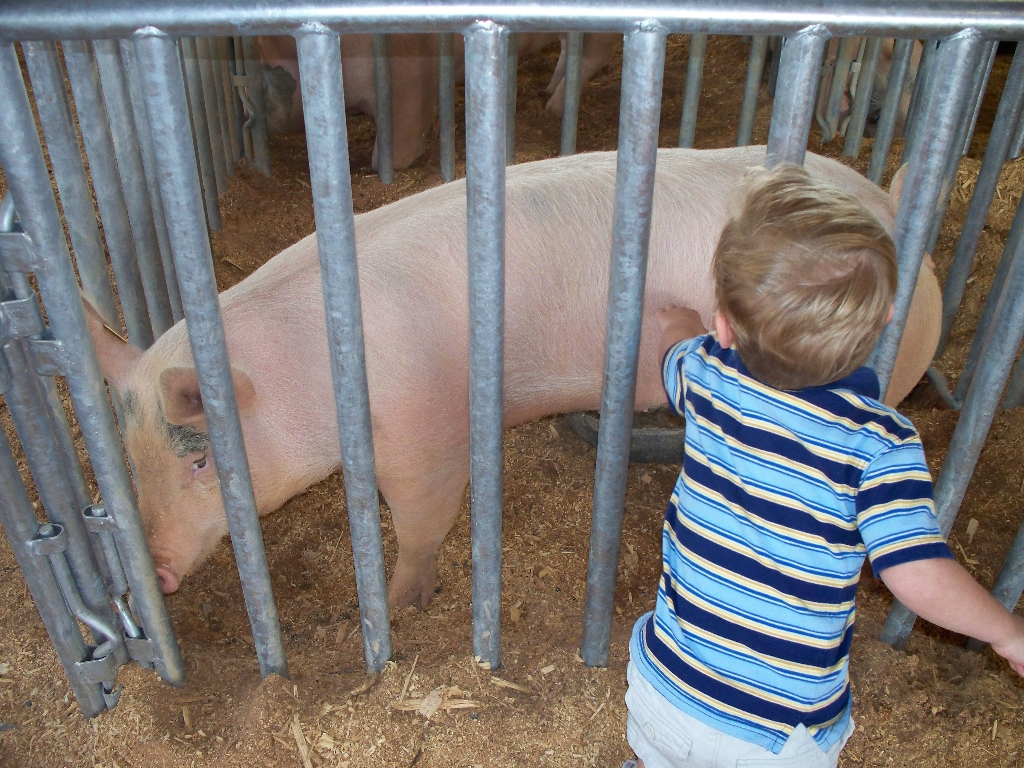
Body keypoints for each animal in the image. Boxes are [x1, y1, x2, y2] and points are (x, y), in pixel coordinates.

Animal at [87, 146, 941, 608]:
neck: (315, 366)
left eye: (203, 460)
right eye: (130, 459)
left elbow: (423, 515)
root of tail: (893, 210)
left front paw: (403, 604)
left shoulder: (423, 426)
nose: (155, 570)